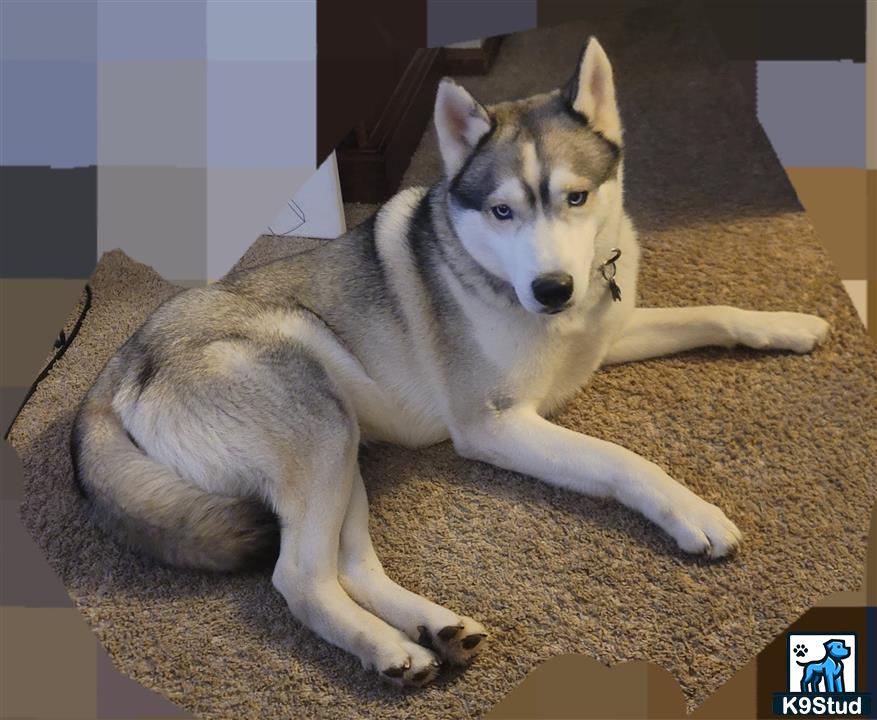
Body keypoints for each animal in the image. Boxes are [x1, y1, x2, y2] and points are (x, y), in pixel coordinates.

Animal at [70, 39, 828, 688]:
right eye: (501, 211)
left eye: (576, 197)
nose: (552, 289)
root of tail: (116, 368)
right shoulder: (495, 426)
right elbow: (622, 461)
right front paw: (690, 511)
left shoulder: (608, 333)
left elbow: (713, 313)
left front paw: (790, 324)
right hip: (318, 419)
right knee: (301, 578)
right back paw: (389, 651)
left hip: (343, 445)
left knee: (349, 565)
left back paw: (434, 628)